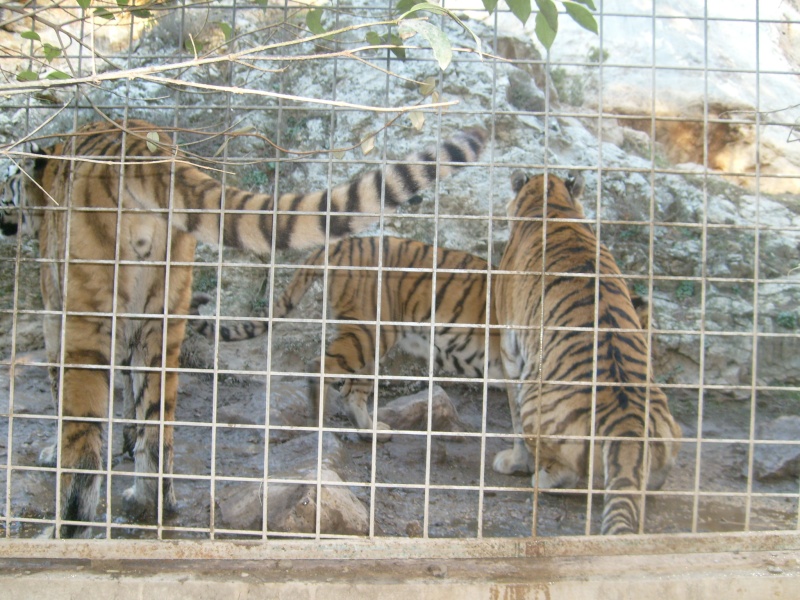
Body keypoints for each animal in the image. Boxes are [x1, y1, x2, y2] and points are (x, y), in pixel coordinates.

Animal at [191, 236, 504, 440]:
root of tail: (339, 244)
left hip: (368, 338)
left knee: (353, 390)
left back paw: (370, 431)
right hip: (368, 333)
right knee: (320, 367)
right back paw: (321, 425)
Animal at [494, 169, 680, 536]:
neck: (553, 205)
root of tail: (627, 428)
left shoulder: (510, 348)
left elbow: (513, 413)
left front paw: (514, 462)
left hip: (535, 400)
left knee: (563, 473)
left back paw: (538, 476)